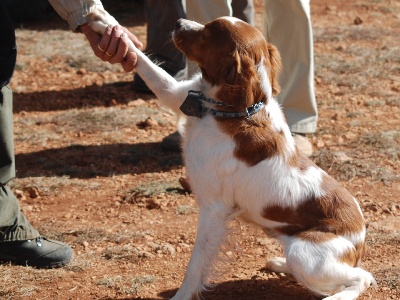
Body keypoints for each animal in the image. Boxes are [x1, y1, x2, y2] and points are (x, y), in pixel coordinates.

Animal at [89, 9, 376, 300]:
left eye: (208, 33)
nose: (178, 23)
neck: (233, 112)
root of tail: (360, 238)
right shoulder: (177, 94)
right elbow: (144, 63)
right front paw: (104, 22)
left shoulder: (214, 208)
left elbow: (196, 265)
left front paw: (182, 296)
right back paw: (280, 264)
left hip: (304, 253)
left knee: (363, 277)